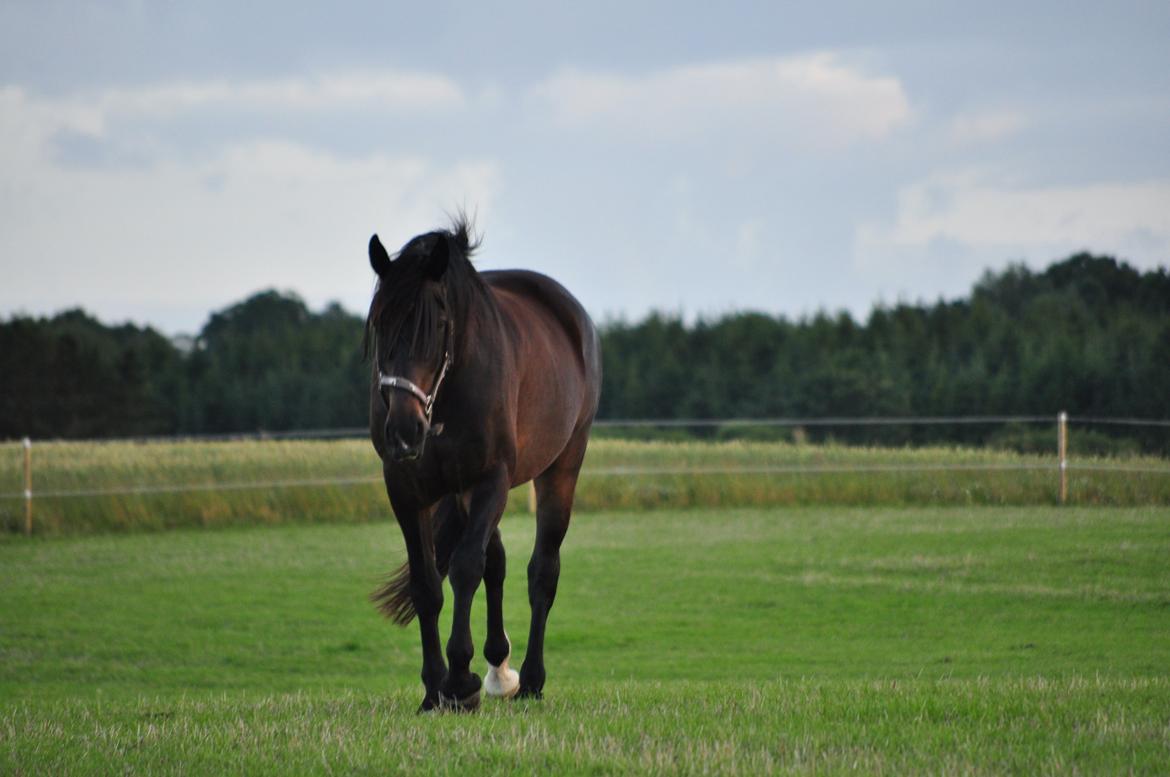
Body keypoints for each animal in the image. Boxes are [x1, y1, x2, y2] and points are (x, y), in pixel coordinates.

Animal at [362, 216, 603, 711]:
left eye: (437, 325)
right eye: (379, 321)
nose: (404, 430)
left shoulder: (491, 478)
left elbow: (466, 568)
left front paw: (459, 679)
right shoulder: (405, 487)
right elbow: (426, 582)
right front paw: (434, 688)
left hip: (560, 467)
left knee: (541, 570)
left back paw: (529, 680)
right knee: (499, 559)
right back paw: (498, 667)